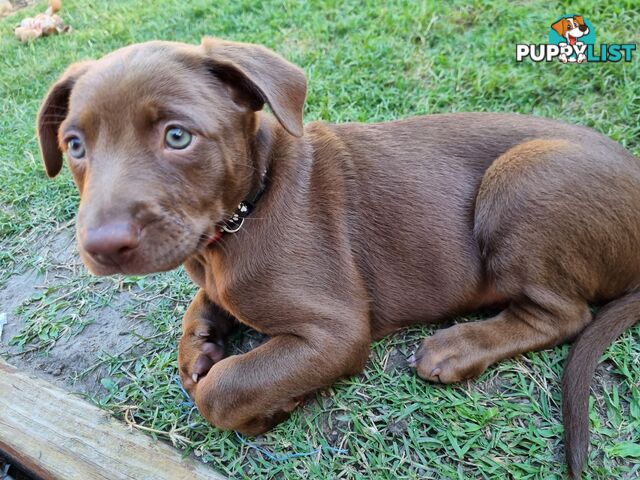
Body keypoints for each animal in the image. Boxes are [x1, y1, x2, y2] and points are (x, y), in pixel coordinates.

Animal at [37, 37, 636, 476]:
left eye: (178, 136)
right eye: (75, 146)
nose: (102, 246)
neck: (244, 212)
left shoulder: (336, 331)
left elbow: (222, 391)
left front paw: (269, 407)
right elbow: (201, 309)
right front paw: (198, 349)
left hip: (524, 176)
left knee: (563, 316)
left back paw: (456, 347)